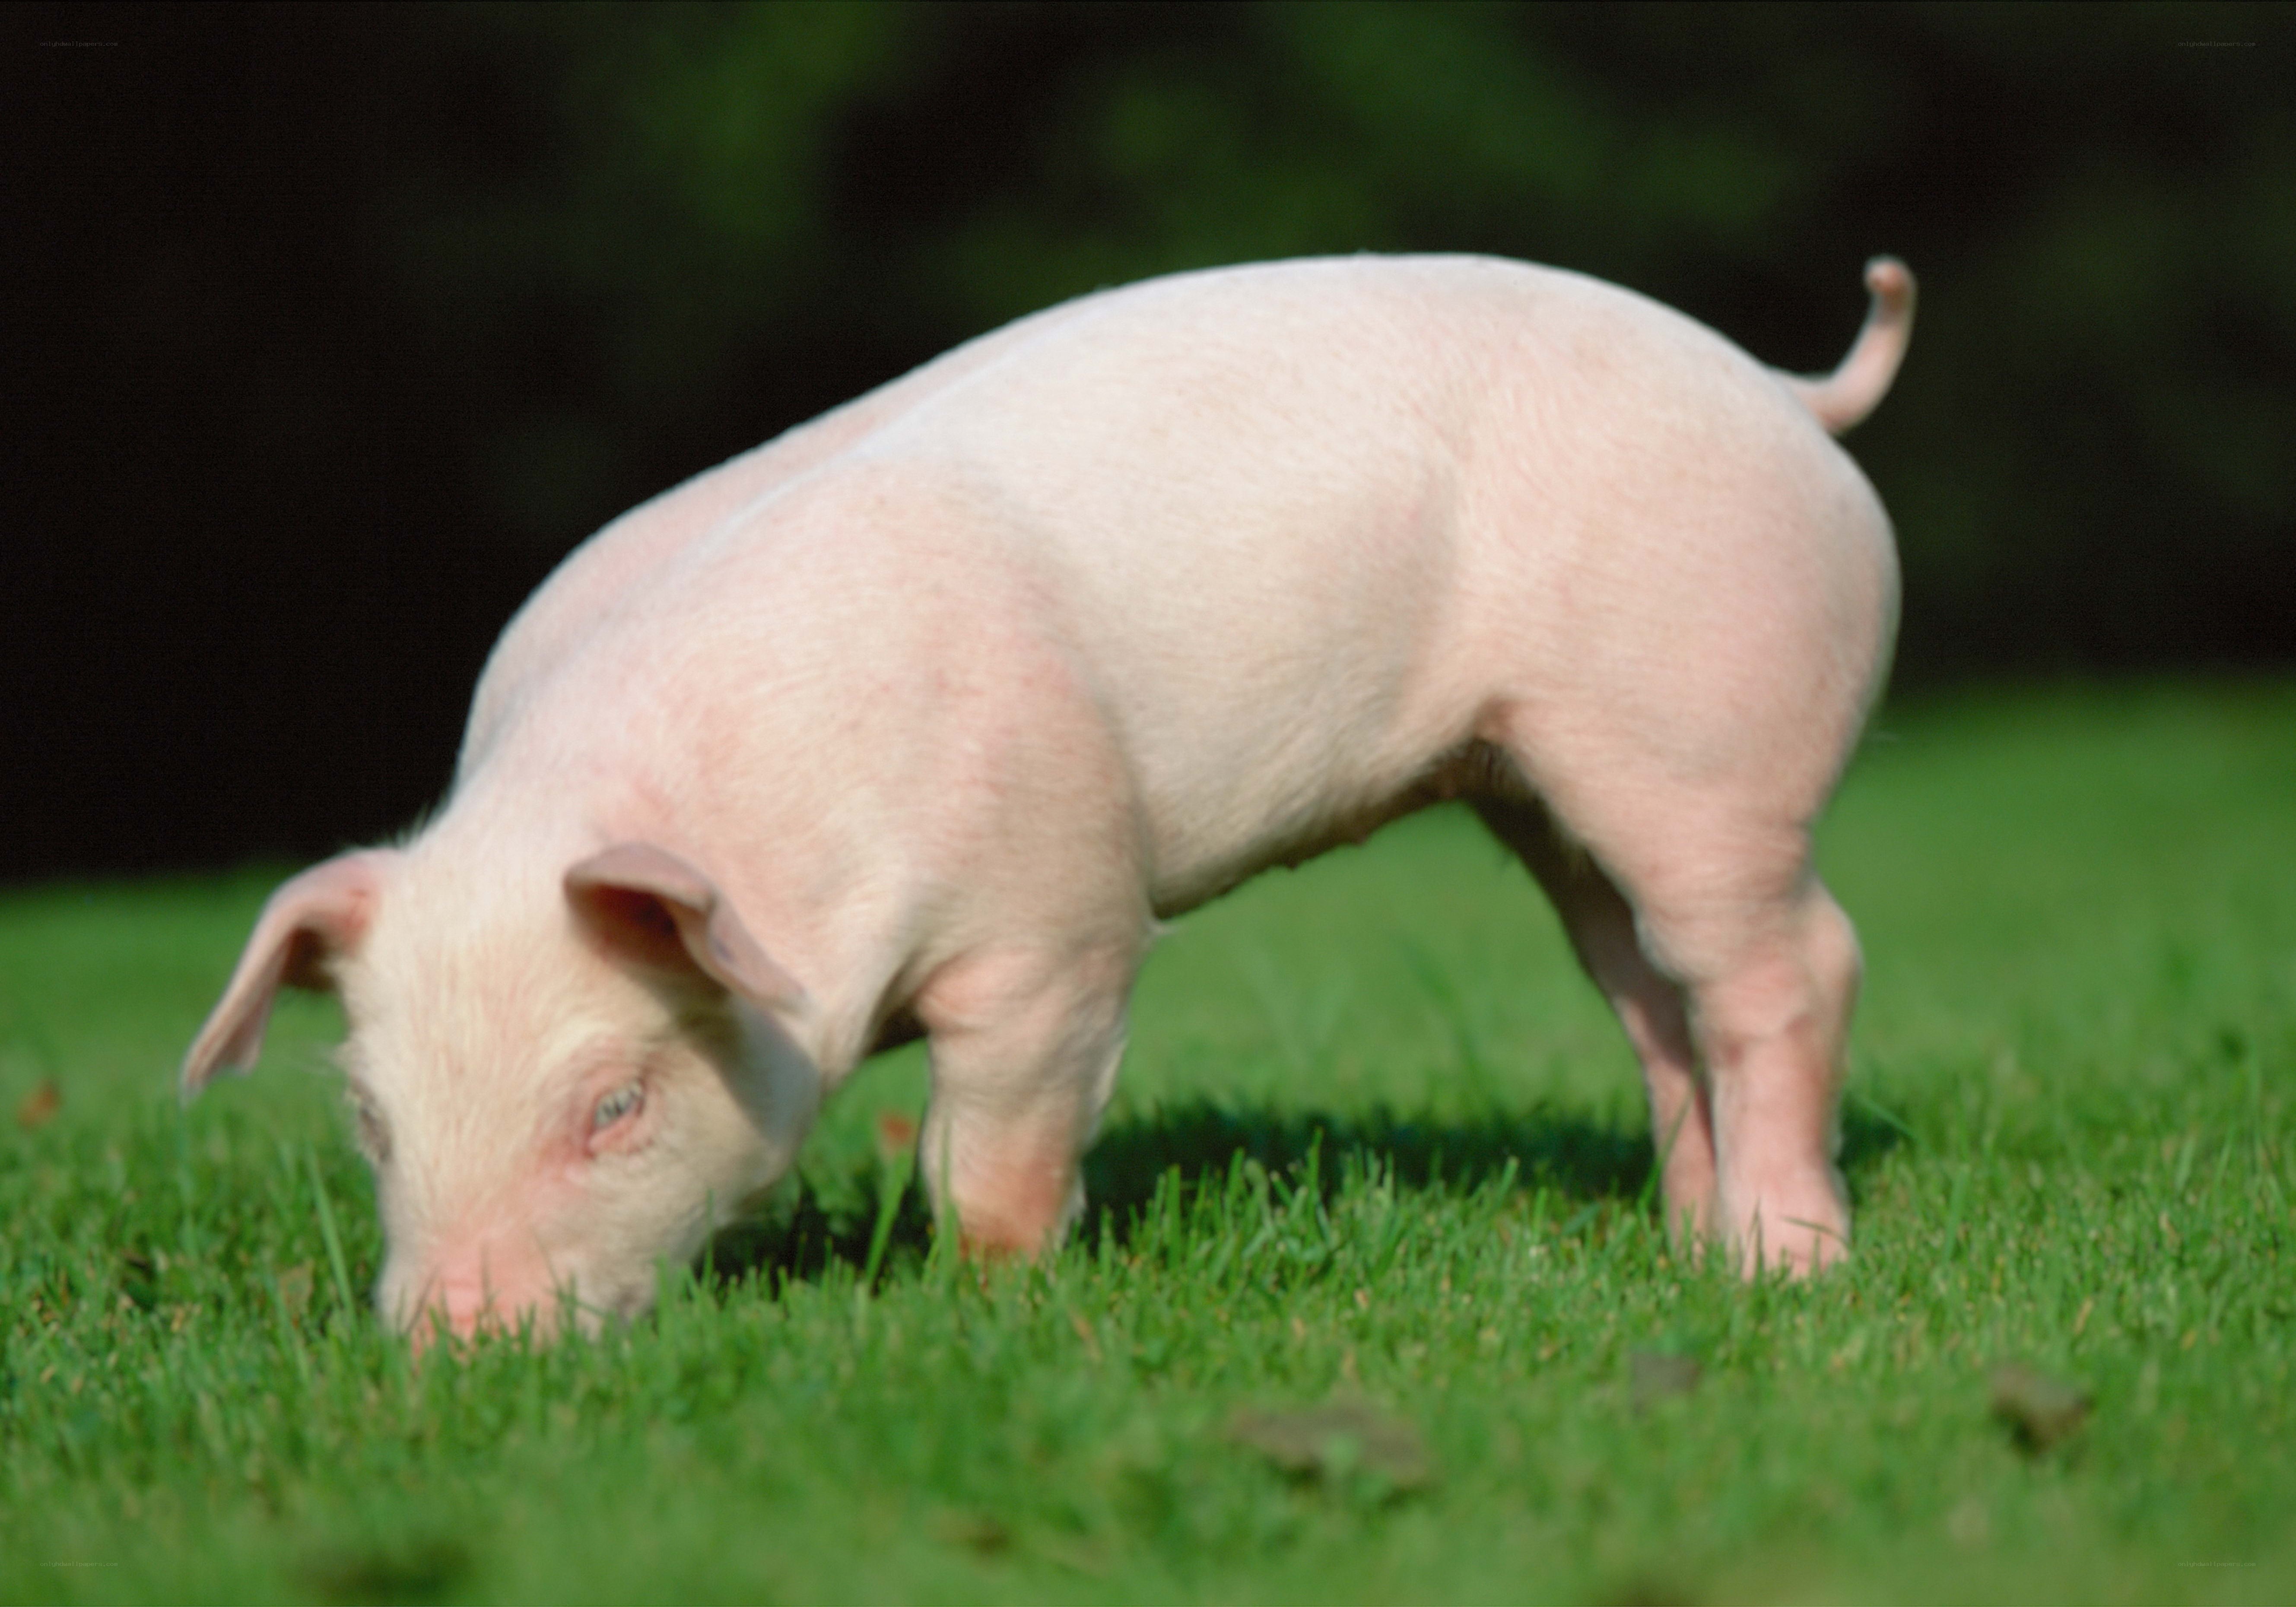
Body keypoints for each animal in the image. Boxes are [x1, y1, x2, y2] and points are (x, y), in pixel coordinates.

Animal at [183, 252, 1914, 1339]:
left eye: (615, 1102)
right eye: (367, 1114)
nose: (451, 1349)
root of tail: (1785, 391)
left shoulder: (1055, 916)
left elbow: (990, 1156)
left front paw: (992, 1307)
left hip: (1706, 730)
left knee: (1790, 964)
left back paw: (1783, 1277)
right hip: (1543, 790)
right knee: (1647, 993)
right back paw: (1683, 1242)